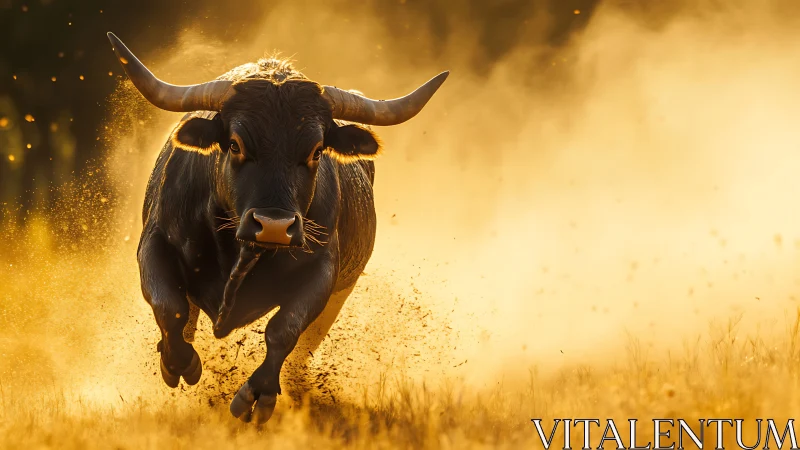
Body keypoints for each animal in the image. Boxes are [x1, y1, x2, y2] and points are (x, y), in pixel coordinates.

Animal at [106, 32, 448, 424]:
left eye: (317, 151)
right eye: (235, 144)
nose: (273, 226)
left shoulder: (323, 273)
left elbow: (284, 329)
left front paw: (258, 394)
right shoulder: (154, 243)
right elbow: (170, 306)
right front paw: (178, 363)